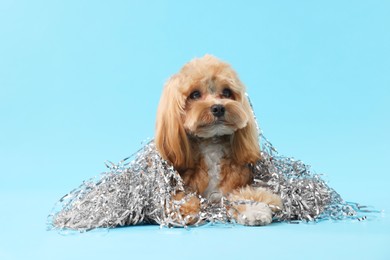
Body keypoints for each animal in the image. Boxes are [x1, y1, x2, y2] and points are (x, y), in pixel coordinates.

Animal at [155, 55, 284, 225]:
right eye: (195, 95)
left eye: (227, 92)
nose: (218, 108)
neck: (211, 145)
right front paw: (183, 210)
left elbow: (245, 195)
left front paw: (253, 209)